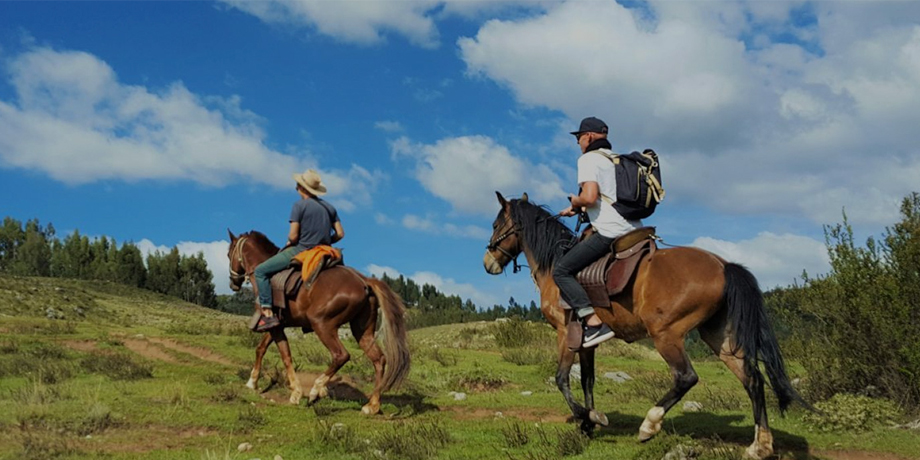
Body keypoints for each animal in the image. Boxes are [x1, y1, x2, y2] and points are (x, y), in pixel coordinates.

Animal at [226, 230, 410, 414]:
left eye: (229, 254)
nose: (233, 283)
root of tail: (364, 281)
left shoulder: (275, 326)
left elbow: (285, 355)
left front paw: (296, 392)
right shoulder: (277, 324)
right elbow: (261, 349)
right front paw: (252, 381)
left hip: (322, 325)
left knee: (341, 355)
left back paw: (316, 390)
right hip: (362, 331)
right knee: (379, 359)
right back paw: (372, 405)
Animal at [482, 192, 804, 458]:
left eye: (496, 224)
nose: (487, 262)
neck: (555, 264)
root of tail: (723, 265)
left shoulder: (565, 334)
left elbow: (562, 379)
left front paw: (588, 418)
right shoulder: (586, 341)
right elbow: (587, 380)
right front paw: (590, 421)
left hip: (665, 334)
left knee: (686, 377)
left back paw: (650, 425)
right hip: (718, 336)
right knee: (753, 379)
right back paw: (760, 446)